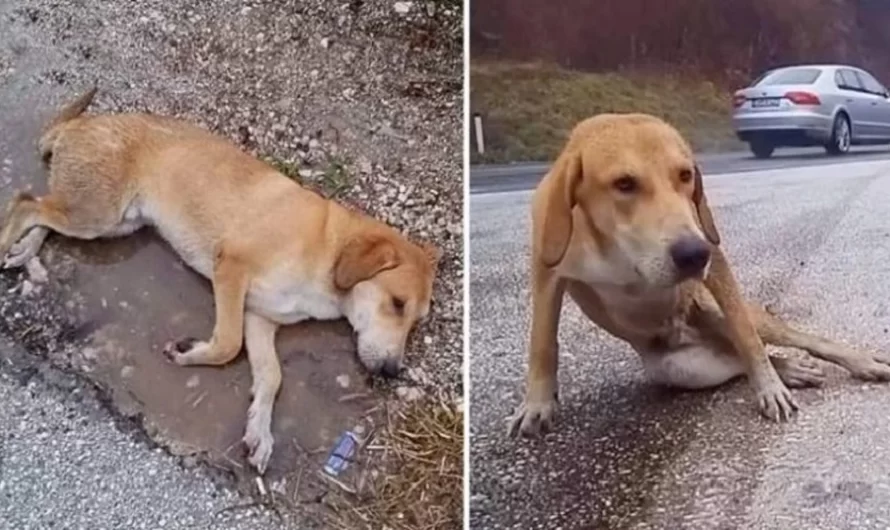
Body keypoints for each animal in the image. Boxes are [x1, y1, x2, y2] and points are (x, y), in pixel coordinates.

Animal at [0, 88, 442, 472]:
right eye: (397, 304)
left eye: (415, 321)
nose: (392, 372)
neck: (327, 249)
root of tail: (79, 123)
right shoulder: (231, 268)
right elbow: (228, 344)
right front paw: (190, 353)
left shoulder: (260, 320)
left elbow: (272, 377)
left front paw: (260, 430)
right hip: (98, 213)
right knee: (25, 203)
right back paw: (8, 242)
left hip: (107, 221)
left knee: (43, 213)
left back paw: (25, 249)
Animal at [506, 111, 888, 434]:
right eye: (624, 184)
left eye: (685, 175)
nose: (692, 254)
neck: (615, 246)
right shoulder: (546, 273)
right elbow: (542, 341)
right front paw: (537, 405)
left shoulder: (714, 259)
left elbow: (749, 339)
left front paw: (769, 387)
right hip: (681, 368)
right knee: (735, 359)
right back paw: (791, 369)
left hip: (716, 310)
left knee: (787, 340)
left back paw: (857, 362)